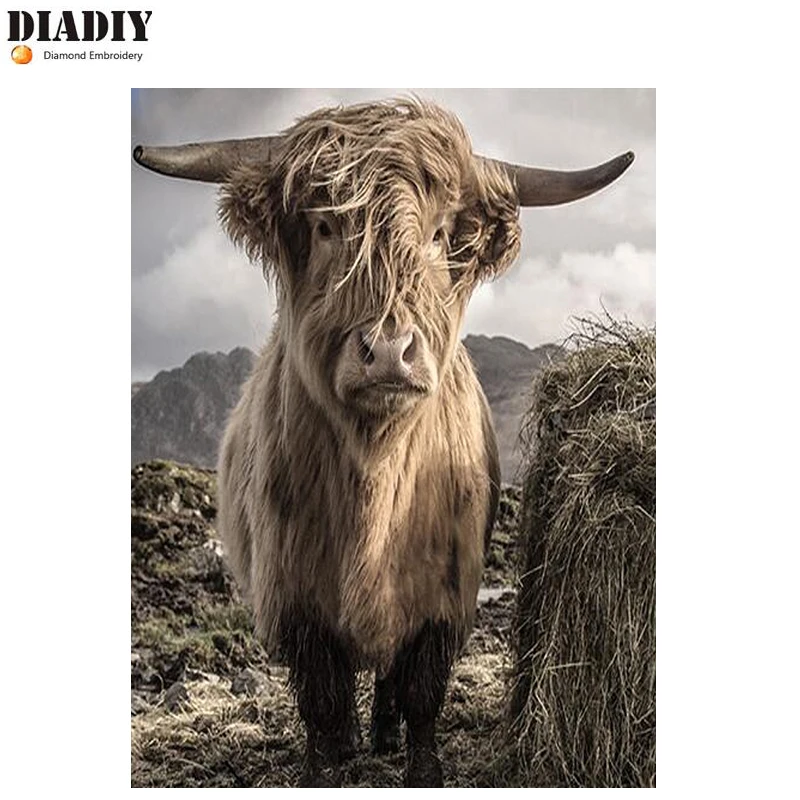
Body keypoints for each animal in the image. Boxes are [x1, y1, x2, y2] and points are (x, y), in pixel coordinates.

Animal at [133, 98, 633, 787]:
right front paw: (323, 766)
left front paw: (423, 767)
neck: (375, 471)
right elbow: (322, 698)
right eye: (323, 227)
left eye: (441, 234)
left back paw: (385, 735)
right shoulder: (296, 599)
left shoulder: (443, 599)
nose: (390, 351)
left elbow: (421, 691)